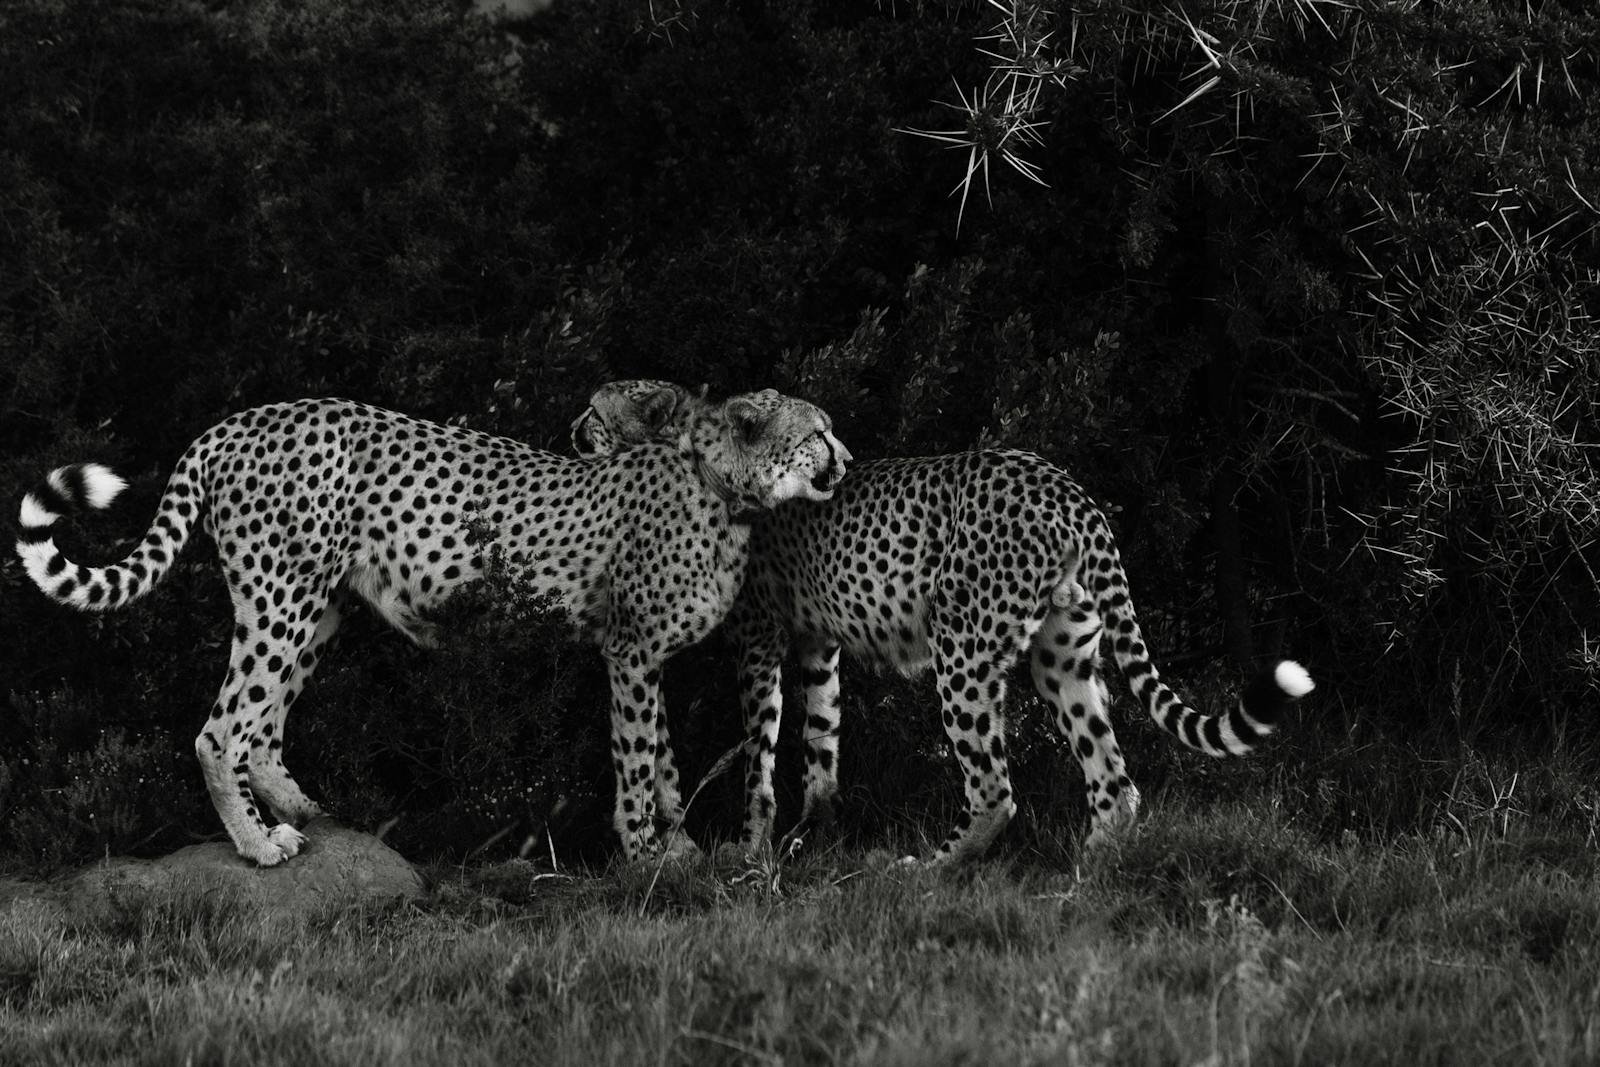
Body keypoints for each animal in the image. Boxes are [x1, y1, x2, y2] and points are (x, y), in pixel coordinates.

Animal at [16, 391, 850, 866]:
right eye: (818, 431)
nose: (846, 455)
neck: (725, 489)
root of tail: (236, 421)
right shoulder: (631, 649)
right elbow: (640, 756)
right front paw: (646, 849)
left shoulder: (643, 655)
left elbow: (668, 760)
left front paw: (676, 845)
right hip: (280, 595)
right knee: (221, 729)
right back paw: (258, 845)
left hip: (318, 604)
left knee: (264, 723)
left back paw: (303, 813)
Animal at [571, 380, 1314, 862]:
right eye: (818, 434)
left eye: (595, 412)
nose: (575, 430)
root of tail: (1060, 481)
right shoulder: (816, 639)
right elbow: (820, 739)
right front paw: (815, 832)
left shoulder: (758, 635)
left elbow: (759, 749)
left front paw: (750, 848)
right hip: (1063, 654)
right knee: (1113, 777)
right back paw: (1093, 869)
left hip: (962, 647)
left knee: (994, 789)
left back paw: (934, 868)